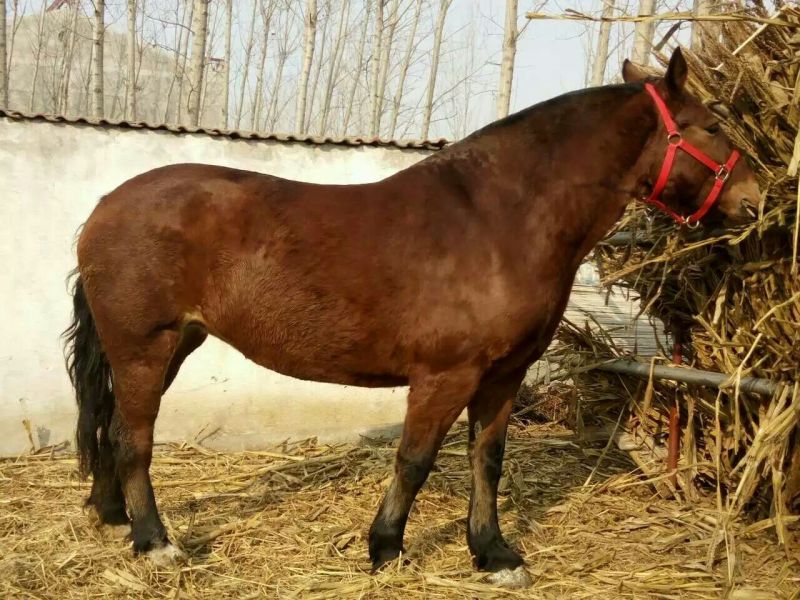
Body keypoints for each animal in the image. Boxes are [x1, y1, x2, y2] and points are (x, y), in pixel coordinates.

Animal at [64, 48, 760, 587]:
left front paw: (493, 554)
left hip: (171, 344)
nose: (755, 199)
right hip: (145, 348)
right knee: (131, 437)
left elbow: (487, 459)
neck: (501, 219)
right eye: (710, 126)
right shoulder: (446, 375)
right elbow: (415, 459)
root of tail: (105, 205)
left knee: (111, 431)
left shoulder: (503, 376)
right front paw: (386, 546)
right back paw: (156, 542)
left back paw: (114, 517)